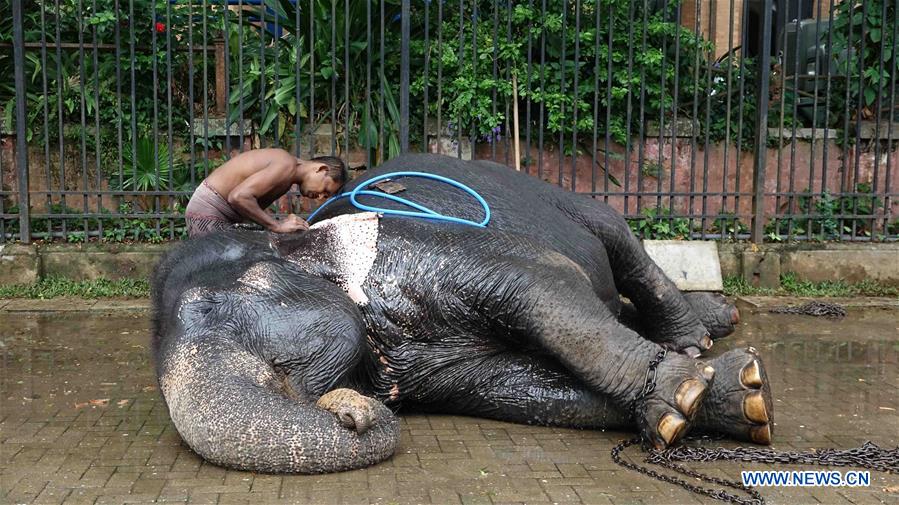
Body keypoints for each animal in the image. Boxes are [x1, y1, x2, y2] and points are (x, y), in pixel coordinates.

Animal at [153, 153, 772, 472]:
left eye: (219, 303)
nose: (352, 413)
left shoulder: (415, 248)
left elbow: (543, 282)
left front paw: (692, 389)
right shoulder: (428, 370)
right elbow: (522, 390)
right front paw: (729, 397)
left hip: (561, 197)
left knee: (619, 241)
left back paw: (698, 336)